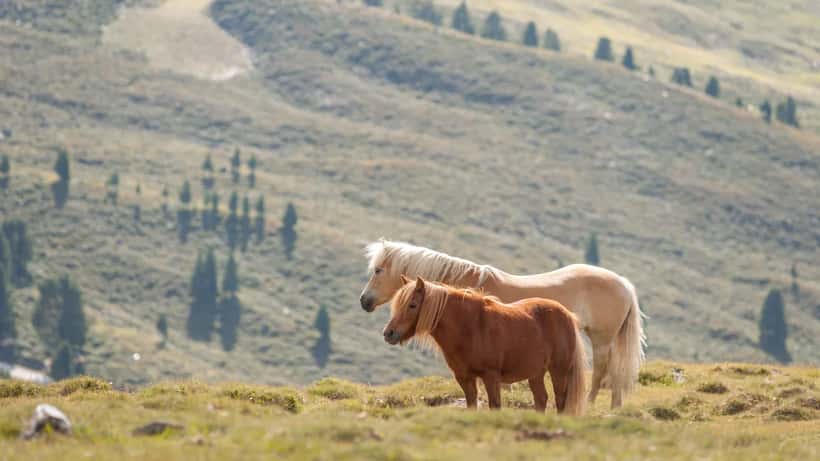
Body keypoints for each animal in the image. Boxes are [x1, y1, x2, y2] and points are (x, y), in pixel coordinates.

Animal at [384, 276, 587, 415]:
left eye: (412, 305)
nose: (388, 333)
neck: (470, 327)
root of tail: (567, 315)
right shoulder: (464, 378)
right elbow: (472, 405)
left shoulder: (491, 376)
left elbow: (494, 405)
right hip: (536, 374)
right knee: (541, 399)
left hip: (558, 371)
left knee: (560, 401)